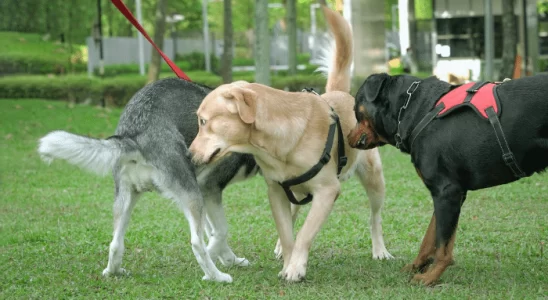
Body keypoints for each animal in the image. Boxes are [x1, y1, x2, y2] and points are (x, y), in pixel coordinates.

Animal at [191, 4, 392, 282]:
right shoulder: (276, 191)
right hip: (296, 189)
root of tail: (341, 93)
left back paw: (380, 249)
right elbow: (288, 234)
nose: (189, 155)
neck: (279, 142)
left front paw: (296, 268)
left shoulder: (327, 191)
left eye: (203, 121)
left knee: (375, 218)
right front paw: (288, 262)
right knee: (295, 212)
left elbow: (305, 233)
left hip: (374, 180)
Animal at [348, 73, 548, 286]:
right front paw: (416, 266)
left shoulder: (447, 192)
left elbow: (443, 246)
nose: (348, 135)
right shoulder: (448, 193)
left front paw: (430, 277)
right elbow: (430, 238)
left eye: (355, 109)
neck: (413, 111)